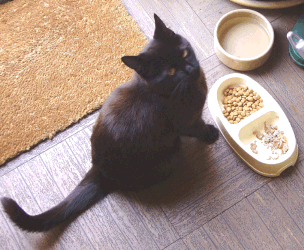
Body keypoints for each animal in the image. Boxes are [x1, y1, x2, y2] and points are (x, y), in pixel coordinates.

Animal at [0, 14, 218, 232]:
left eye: (184, 52)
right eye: (171, 72)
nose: (191, 68)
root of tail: (99, 171)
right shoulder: (188, 121)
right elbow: (199, 128)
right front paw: (211, 134)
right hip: (171, 153)